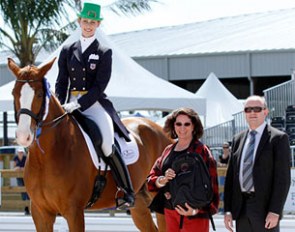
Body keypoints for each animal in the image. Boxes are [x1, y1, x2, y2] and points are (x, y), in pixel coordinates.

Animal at [7, 57, 171, 230]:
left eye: (39, 94)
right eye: (14, 93)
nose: (23, 135)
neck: (45, 158)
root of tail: (161, 130)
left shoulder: (74, 211)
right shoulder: (40, 213)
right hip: (139, 203)